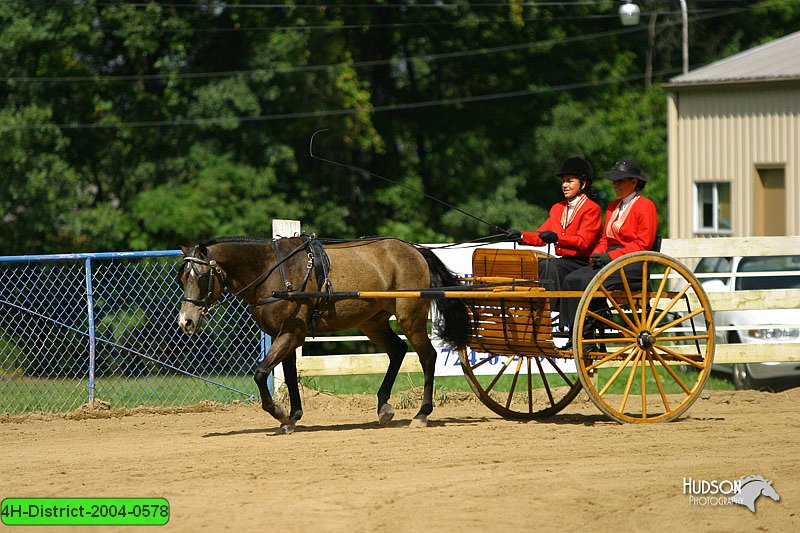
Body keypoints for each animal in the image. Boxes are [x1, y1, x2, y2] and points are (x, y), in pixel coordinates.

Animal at [177, 235, 468, 430]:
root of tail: (413, 250)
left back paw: (422, 414)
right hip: (372, 322)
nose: (185, 321)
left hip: (411, 318)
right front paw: (292, 417)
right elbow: (290, 376)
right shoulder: (285, 335)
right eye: (182, 278)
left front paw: (279, 412)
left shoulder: (292, 334)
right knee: (397, 351)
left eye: (201, 277)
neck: (272, 270)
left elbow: (260, 372)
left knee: (427, 356)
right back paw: (384, 407)